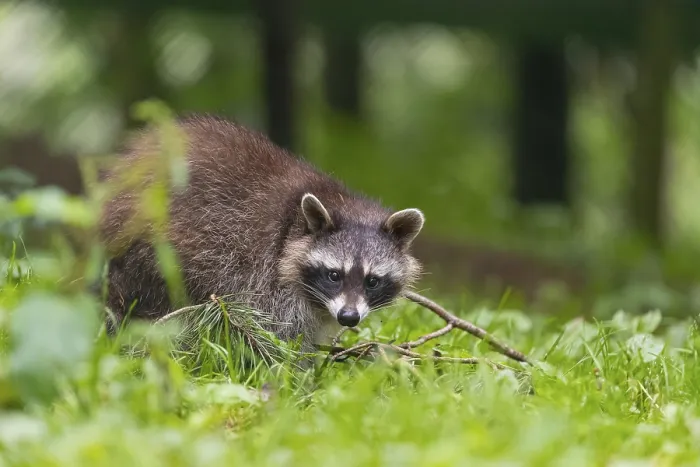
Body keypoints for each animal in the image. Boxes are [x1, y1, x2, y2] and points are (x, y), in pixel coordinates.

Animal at [98, 115, 425, 351]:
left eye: (372, 281)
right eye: (334, 275)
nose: (348, 317)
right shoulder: (264, 271)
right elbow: (274, 330)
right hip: (156, 246)